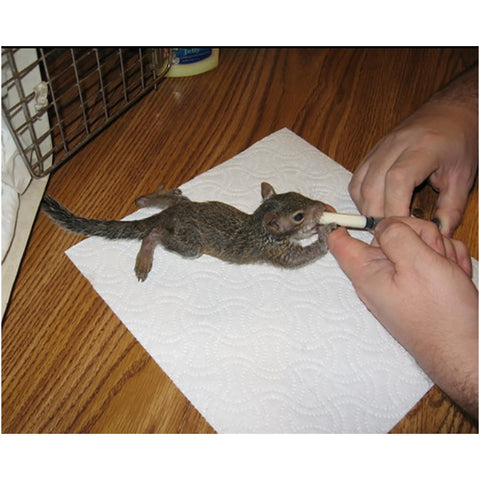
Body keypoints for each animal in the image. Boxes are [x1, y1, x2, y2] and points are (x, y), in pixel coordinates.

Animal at [41, 183, 336, 282]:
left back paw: (148, 198)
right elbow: (298, 258)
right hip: (189, 244)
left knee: (163, 202)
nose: (321, 207)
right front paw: (325, 233)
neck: (258, 224)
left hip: (181, 205)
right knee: (154, 233)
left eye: (298, 194)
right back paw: (144, 257)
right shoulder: (273, 250)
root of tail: (170, 215)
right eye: (298, 216)